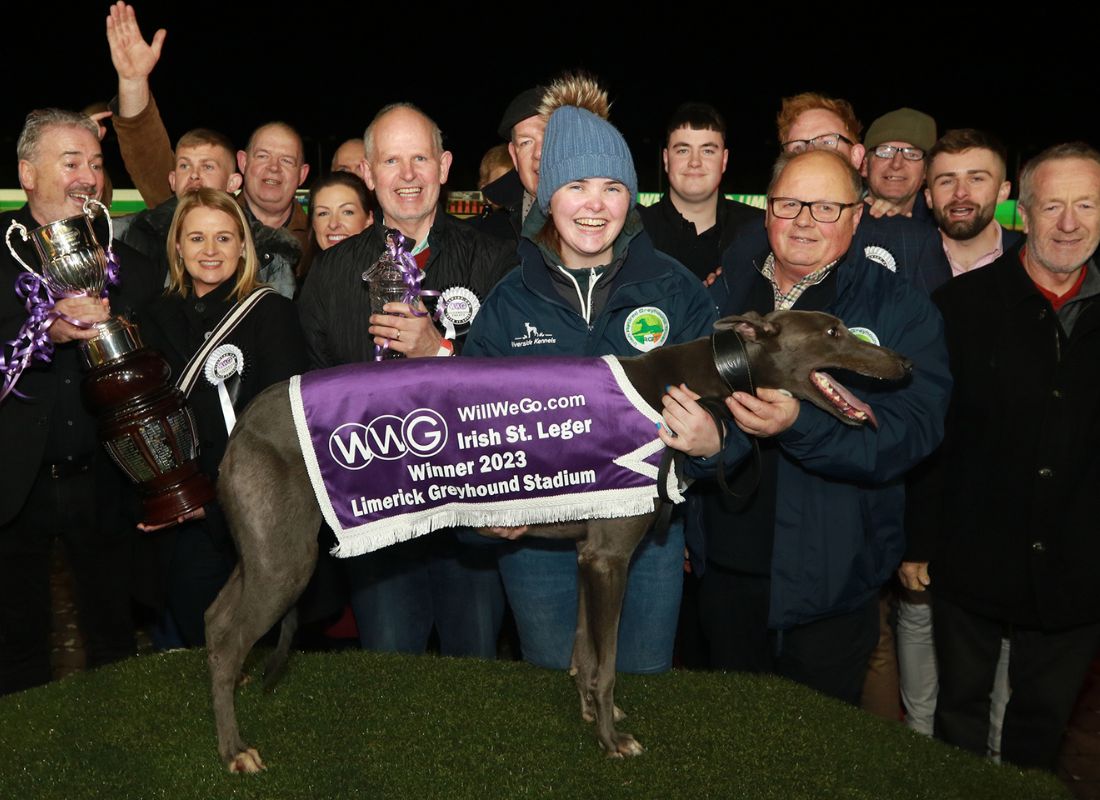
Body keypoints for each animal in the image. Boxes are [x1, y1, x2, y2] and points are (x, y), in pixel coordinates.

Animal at [204, 310, 910, 774]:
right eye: (834, 333)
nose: (903, 364)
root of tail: (245, 422)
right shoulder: (609, 556)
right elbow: (608, 657)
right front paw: (612, 740)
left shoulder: (586, 550)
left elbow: (584, 655)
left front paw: (595, 713)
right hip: (286, 560)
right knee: (230, 639)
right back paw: (234, 750)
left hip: (262, 548)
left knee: (214, 622)